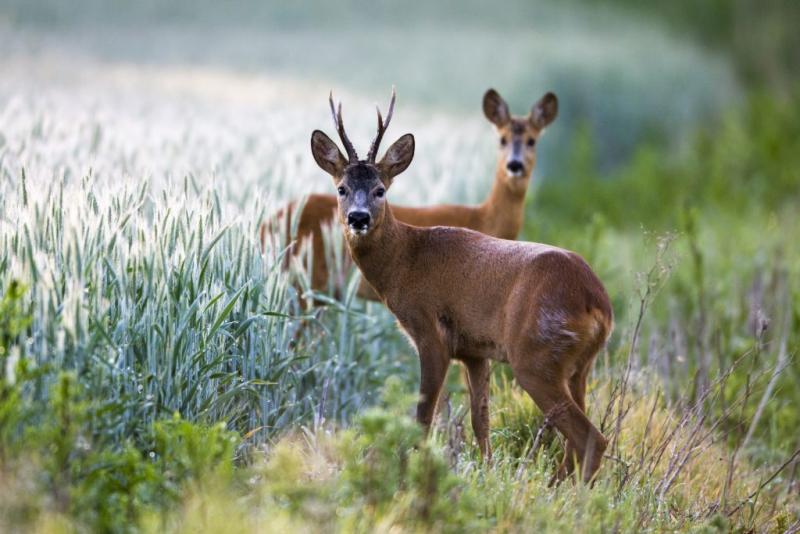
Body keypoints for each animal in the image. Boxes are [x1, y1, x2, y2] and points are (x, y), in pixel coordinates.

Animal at [260, 88, 556, 302]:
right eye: (502, 139)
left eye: (532, 140)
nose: (515, 165)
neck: (485, 219)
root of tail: (264, 225)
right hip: (307, 281)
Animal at [310, 91, 616, 486]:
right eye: (342, 188)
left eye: (380, 190)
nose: (358, 218)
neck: (405, 260)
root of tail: (597, 302)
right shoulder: (474, 350)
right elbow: (479, 418)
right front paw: (486, 473)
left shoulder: (430, 331)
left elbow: (424, 417)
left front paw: (413, 476)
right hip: (580, 366)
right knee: (577, 439)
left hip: (535, 355)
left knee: (591, 437)